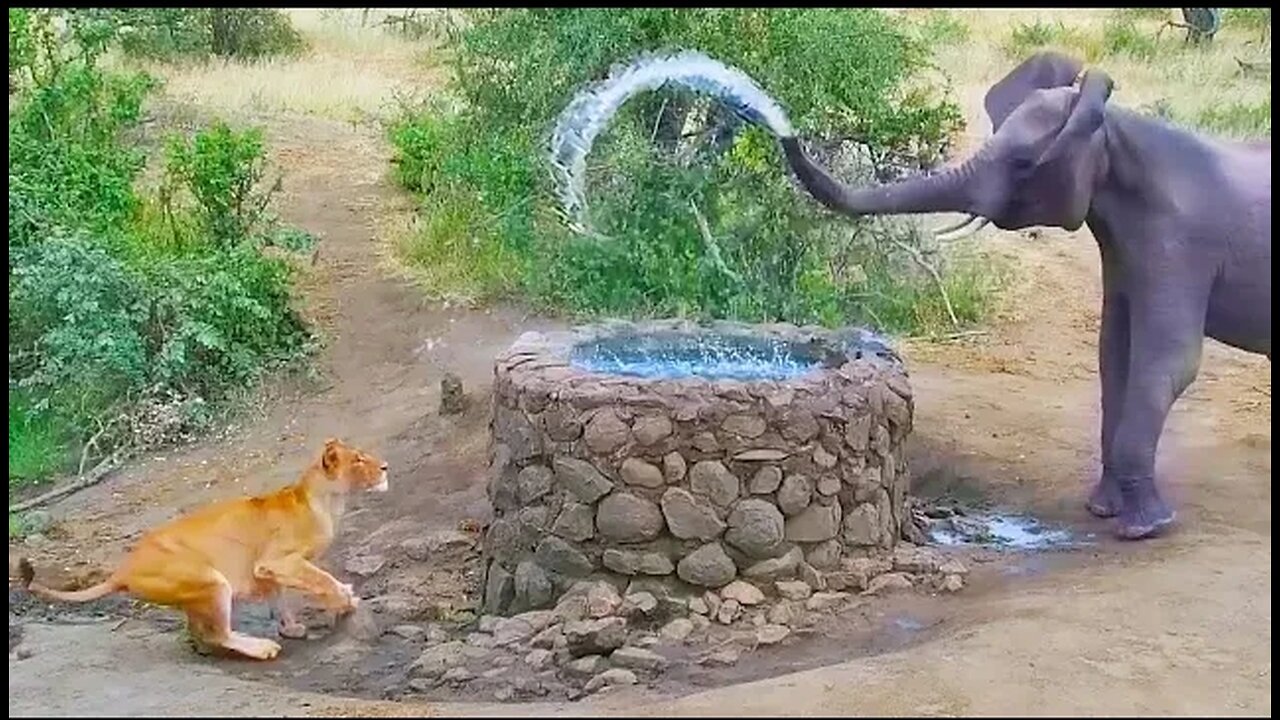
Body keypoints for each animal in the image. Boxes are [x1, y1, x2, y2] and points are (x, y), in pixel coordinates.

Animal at [773, 53, 1264, 538]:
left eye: (1025, 163)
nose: (781, 125)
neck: (1114, 128)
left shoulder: (1179, 244)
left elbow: (1167, 362)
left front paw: (1146, 529)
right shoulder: (1125, 250)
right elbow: (1113, 356)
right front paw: (1103, 511)